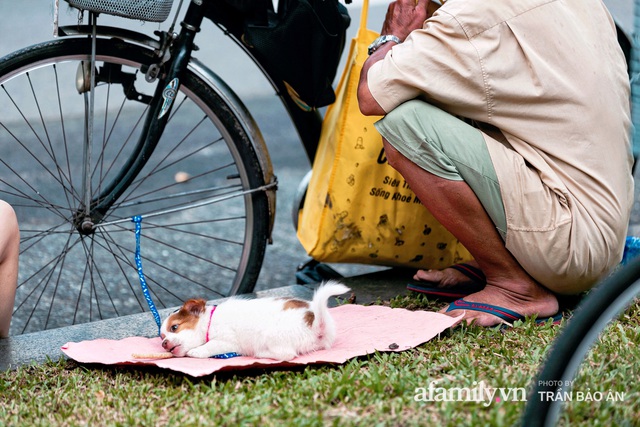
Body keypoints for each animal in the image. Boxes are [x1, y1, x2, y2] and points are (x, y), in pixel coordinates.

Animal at [160, 282, 350, 362]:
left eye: (174, 327)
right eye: (162, 336)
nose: (163, 343)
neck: (210, 321)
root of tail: (316, 322)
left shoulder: (226, 340)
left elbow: (209, 346)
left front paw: (196, 352)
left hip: (272, 336)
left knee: (286, 355)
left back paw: (261, 354)